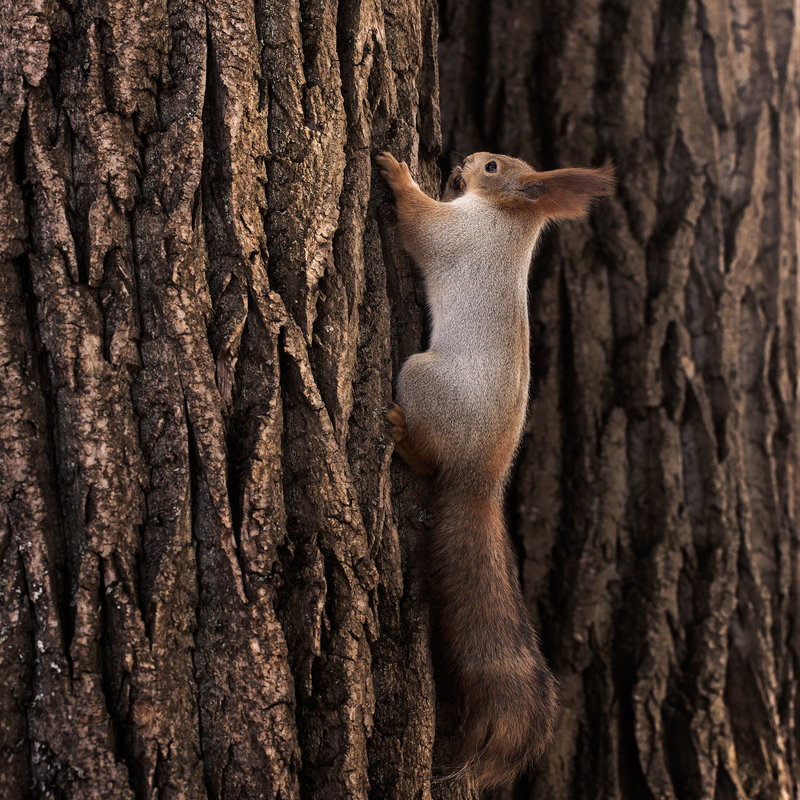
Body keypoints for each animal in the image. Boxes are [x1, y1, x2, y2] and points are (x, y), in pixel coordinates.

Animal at [376, 152, 612, 792]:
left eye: (492, 165)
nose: (461, 160)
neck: (509, 223)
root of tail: (481, 477)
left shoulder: (459, 235)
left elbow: (419, 225)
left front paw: (398, 173)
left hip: (419, 377)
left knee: (426, 454)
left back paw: (401, 436)